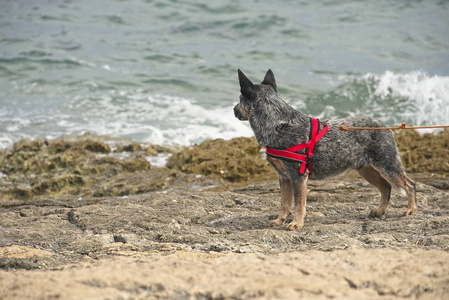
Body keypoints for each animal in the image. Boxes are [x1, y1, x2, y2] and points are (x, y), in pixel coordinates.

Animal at [234, 69, 416, 231]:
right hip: (366, 170)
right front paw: (279, 221)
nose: (234, 110)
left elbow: (298, 204)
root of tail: (385, 126)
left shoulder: (298, 177)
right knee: (386, 187)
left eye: (240, 99)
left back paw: (411, 209)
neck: (278, 123)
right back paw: (379, 211)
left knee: (410, 184)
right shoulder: (284, 177)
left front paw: (297, 223)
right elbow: (284, 204)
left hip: (388, 166)